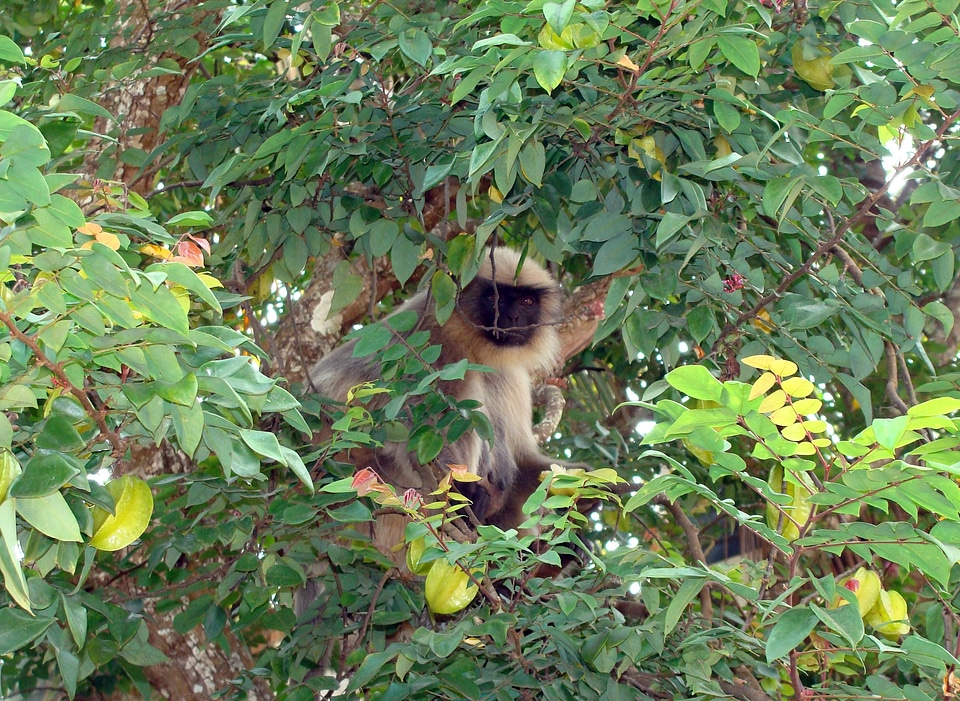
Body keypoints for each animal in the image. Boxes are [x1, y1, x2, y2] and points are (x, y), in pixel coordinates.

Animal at [310, 246, 576, 524]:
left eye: (526, 302)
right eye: (497, 298)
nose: (513, 316)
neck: (475, 346)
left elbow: (523, 456)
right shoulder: (434, 348)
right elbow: (415, 428)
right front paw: (462, 490)